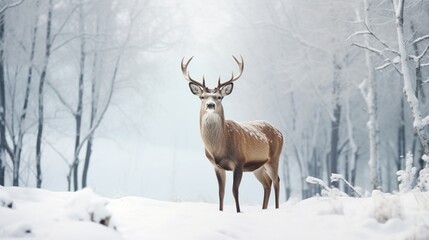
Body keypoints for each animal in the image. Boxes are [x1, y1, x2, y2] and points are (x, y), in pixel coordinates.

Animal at [181, 55, 284, 212]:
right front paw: (221, 211)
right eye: (202, 97)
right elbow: (221, 192)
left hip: (274, 158)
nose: (210, 105)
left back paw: (277, 209)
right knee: (267, 183)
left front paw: (239, 211)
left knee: (277, 180)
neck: (220, 148)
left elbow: (235, 190)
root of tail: (280, 132)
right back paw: (263, 209)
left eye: (219, 97)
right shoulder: (217, 166)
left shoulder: (239, 162)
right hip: (259, 166)